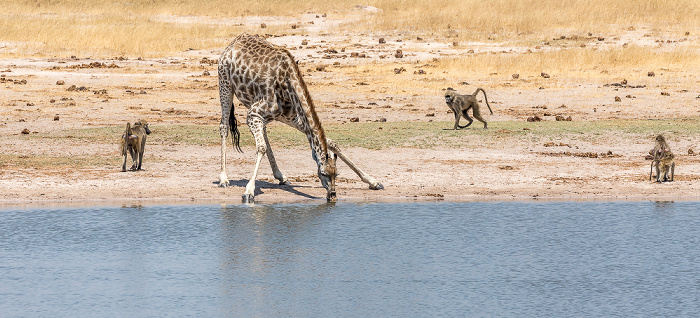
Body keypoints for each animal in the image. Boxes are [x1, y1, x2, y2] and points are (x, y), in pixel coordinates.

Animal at [217, 33, 382, 202]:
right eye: (323, 173)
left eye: (337, 174)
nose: (332, 196)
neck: (287, 83)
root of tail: (233, 43)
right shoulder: (253, 113)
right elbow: (261, 147)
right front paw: (249, 191)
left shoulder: (291, 117)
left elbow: (331, 142)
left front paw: (372, 181)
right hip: (225, 83)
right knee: (224, 126)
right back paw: (223, 178)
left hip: (264, 111)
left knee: (264, 134)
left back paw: (281, 176)